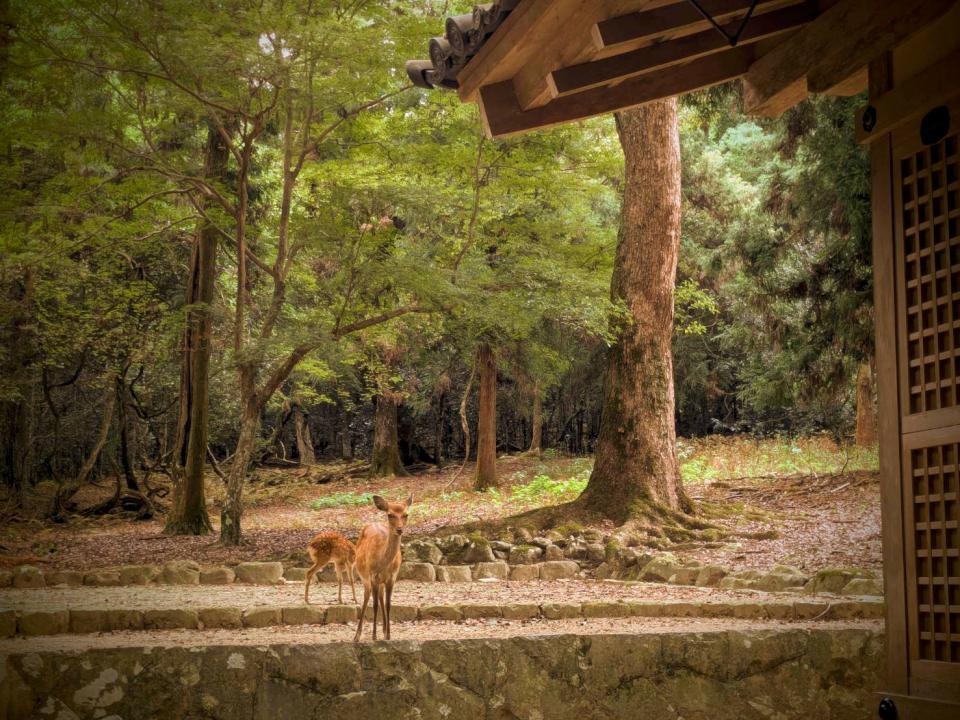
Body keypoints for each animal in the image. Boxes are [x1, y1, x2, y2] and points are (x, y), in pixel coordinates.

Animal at [353, 494, 412, 642]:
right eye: (390, 514)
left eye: (406, 514)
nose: (399, 529)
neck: (383, 564)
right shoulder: (373, 576)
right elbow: (374, 606)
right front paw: (374, 636)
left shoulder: (392, 578)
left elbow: (388, 604)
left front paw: (388, 635)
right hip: (364, 576)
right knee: (366, 597)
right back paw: (357, 635)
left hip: (380, 582)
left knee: (380, 597)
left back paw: (384, 629)